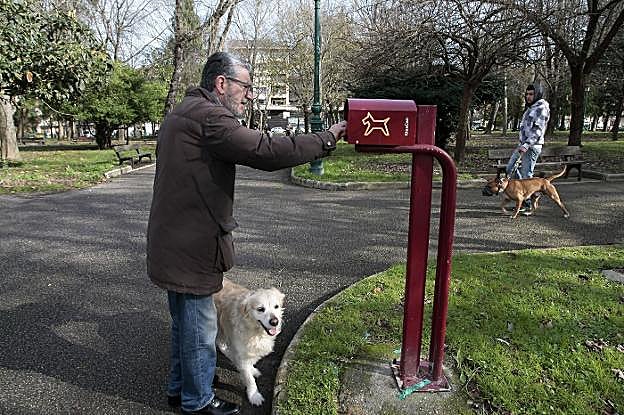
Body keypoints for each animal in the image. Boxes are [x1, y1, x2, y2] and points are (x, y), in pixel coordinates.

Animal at [213, 278, 285, 406]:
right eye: (260, 309)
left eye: (276, 306)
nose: (274, 322)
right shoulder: (241, 350)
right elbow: (249, 378)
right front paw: (254, 395)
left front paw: (252, 369)